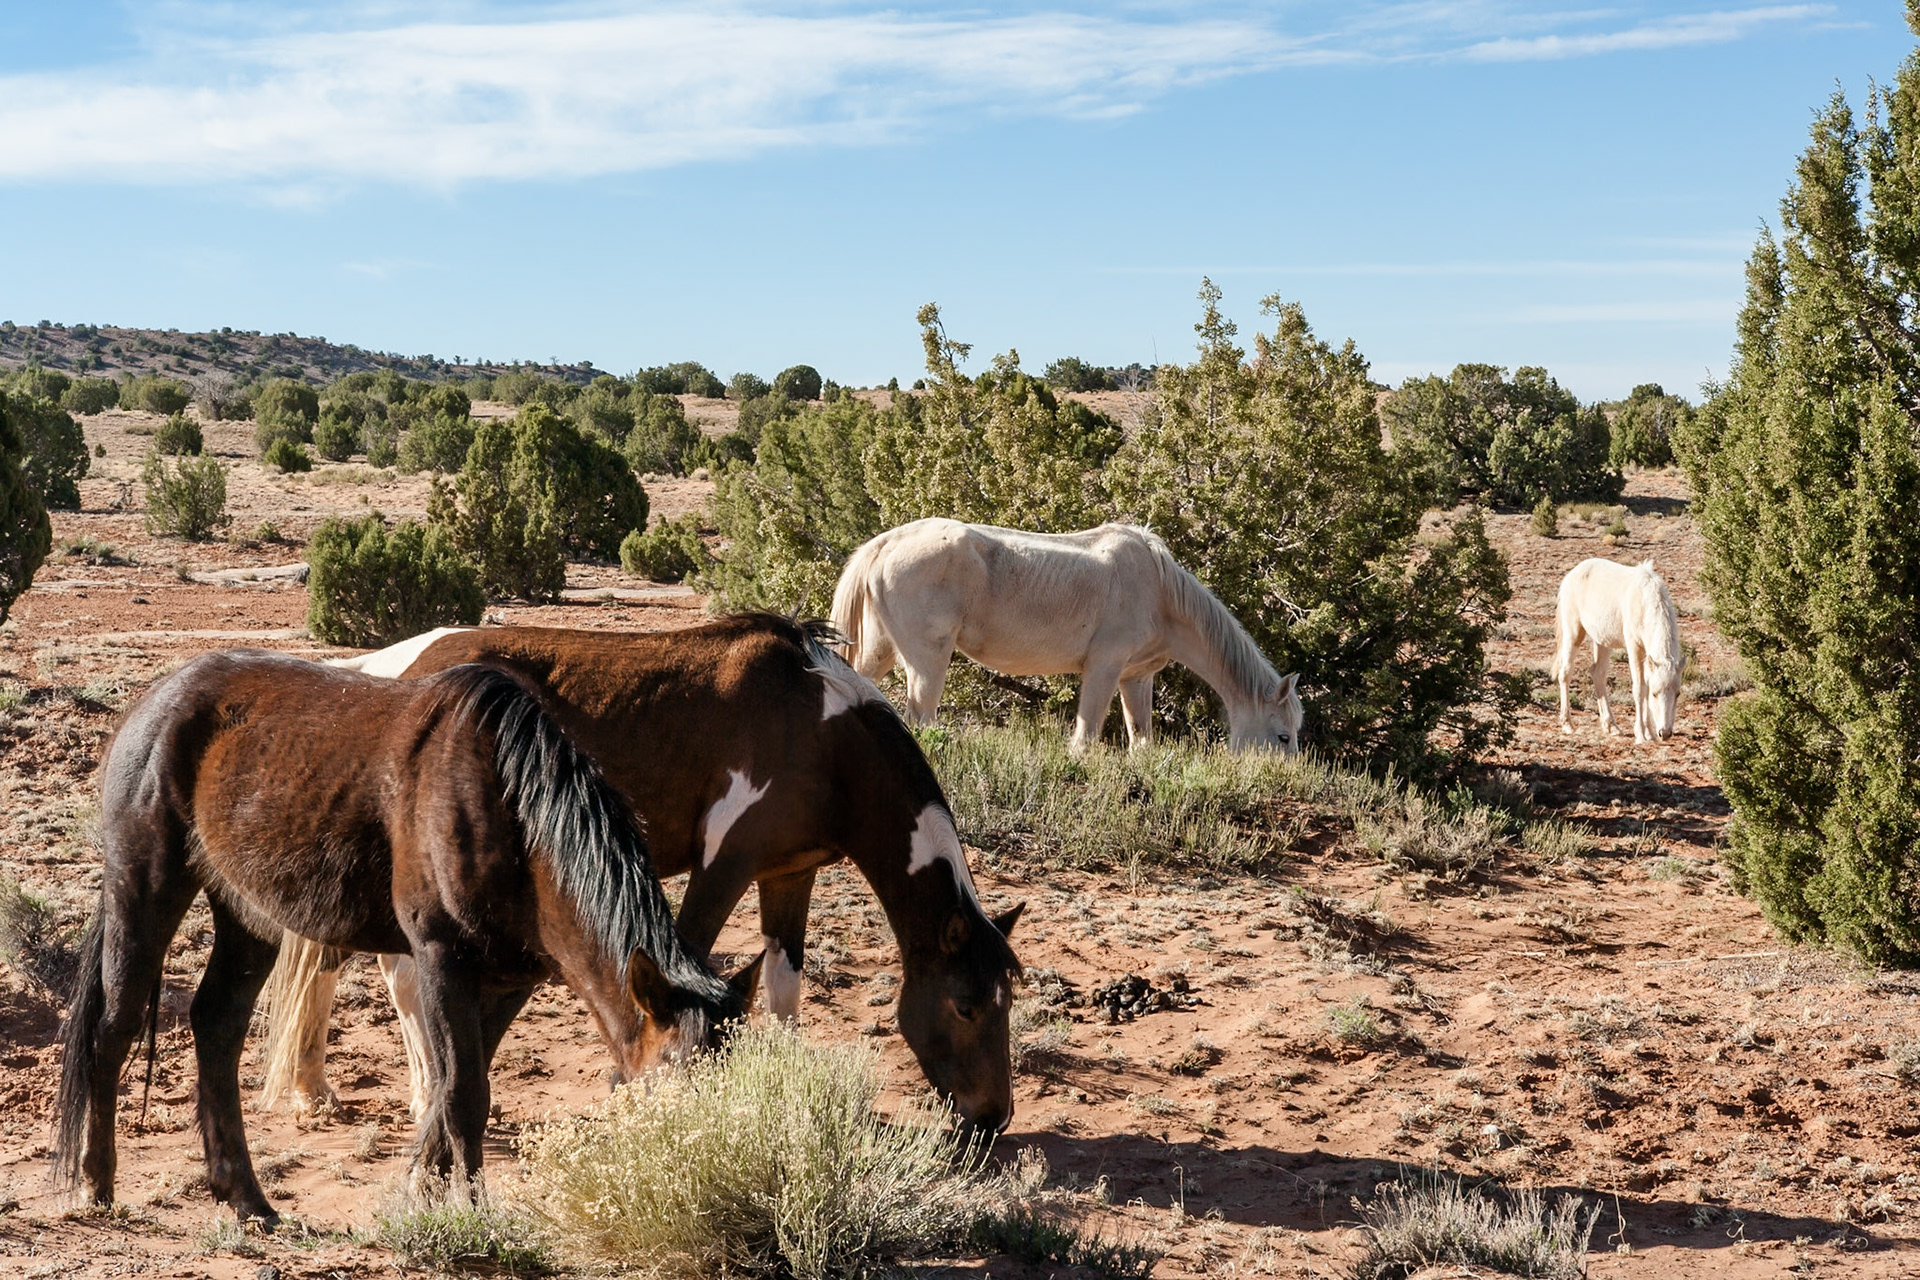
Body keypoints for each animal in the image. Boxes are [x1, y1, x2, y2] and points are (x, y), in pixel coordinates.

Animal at [53, 652, 759, 1224]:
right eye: (672, 1077)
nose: (712, 1173)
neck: (511, 813)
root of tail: (152, 703)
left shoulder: (510, 981)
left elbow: (452, 1090)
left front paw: (423, 1188)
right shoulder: (442, 958)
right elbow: (466, 1094)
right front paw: (471, 1213)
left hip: (246, 912)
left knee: (217, 1025)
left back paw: (247, 1199)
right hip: (146, 884)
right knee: (112, 1027)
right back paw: (96, 1185)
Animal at [262, 614, 1026, 1136]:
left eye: (1006, 1002)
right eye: (965, 1006)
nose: (992, 1115)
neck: (821, 730)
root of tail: (380, 670)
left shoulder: (790, 874)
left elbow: (783, 987)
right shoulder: (723, 867)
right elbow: (682, 963)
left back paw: (315, 1091)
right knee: (395, 976)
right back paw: (424, 1092)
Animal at [830, 519, 1302, 754]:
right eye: (1283, 736)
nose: (1283, 775)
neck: (1160, 592)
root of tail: (886, 543)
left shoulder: (1136, 677)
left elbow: (1141, 738)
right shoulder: (1104, 668)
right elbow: (1086, 737)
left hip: (882, 650)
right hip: (928, 659)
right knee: (921, 718)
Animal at [1552, 557, 1683, 742]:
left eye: (1677, 694)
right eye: (1655, 694)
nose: (1665, 733)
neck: (1644, 601)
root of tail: (1571, 575)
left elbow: (1645, 685)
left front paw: (1649, 734)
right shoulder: (1634, 647)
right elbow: (1640, 689)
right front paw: (1640, 735)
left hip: (1602, 641)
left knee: (1597, 674)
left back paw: (1611, 726)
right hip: (1574, 633)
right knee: (1565, 673)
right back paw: (1568, 724)